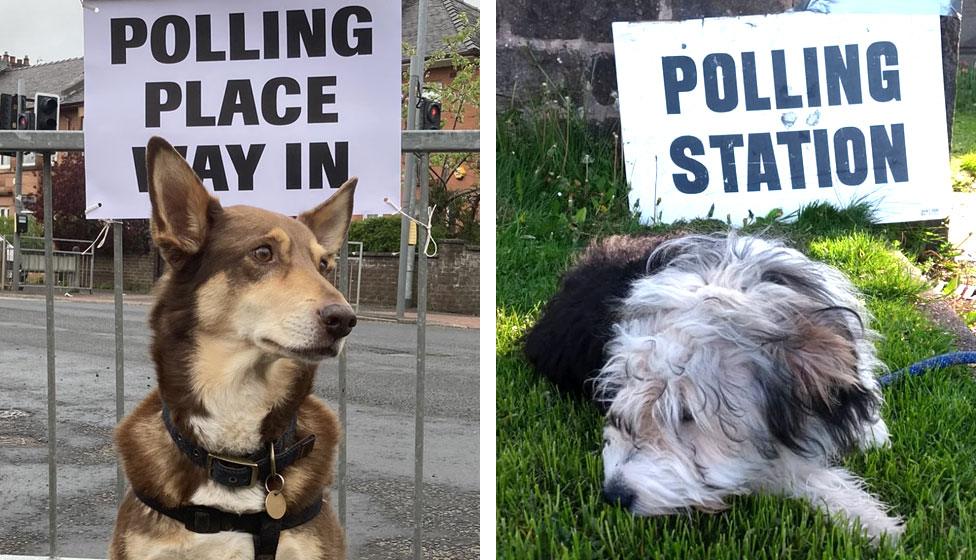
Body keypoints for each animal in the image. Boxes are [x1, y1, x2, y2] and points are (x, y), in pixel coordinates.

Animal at [528, 233, 904, 544]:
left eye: (686, 414)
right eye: (617, 399)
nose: (615, 495)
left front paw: (871, 435)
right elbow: (788, 469)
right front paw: (868, 517)